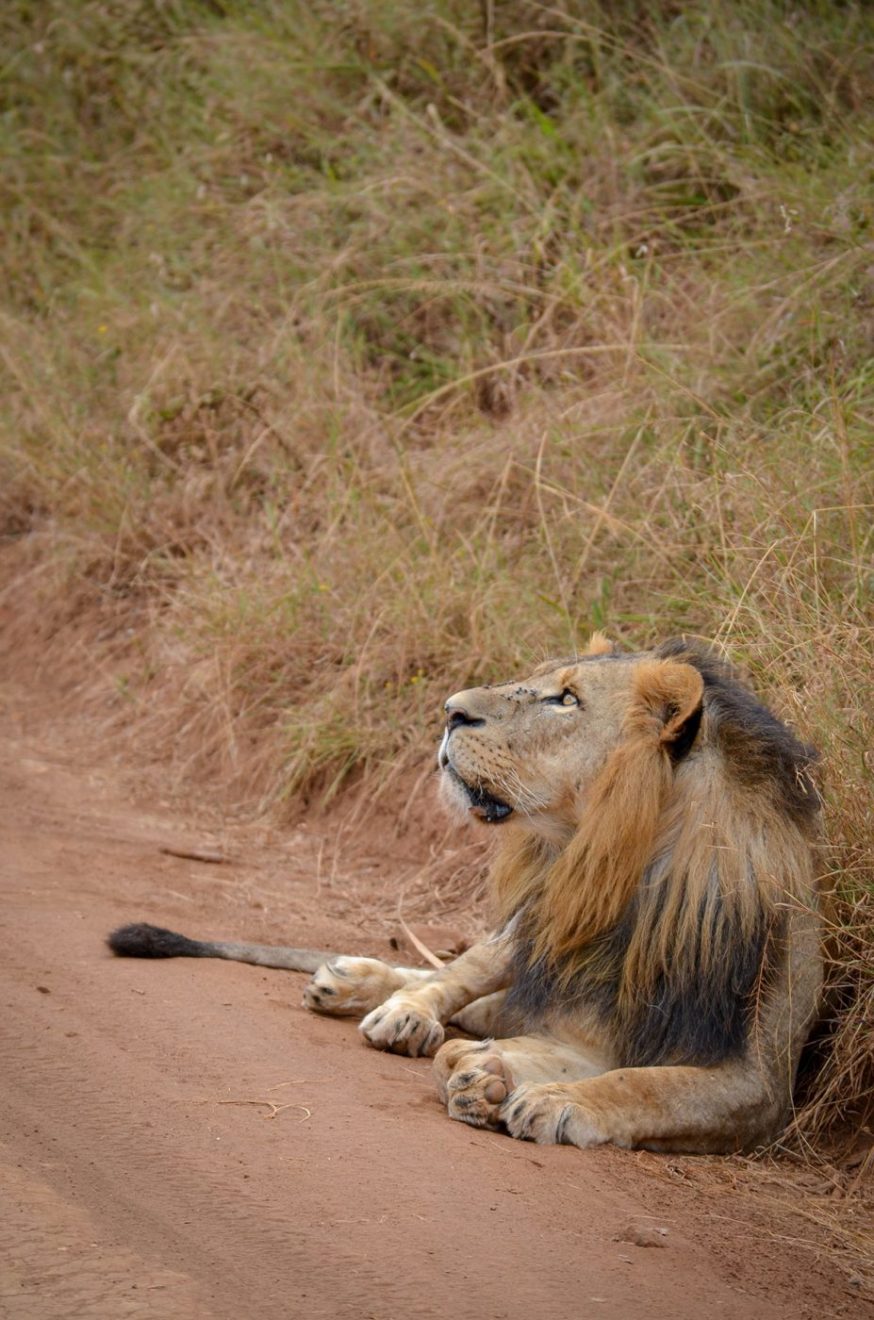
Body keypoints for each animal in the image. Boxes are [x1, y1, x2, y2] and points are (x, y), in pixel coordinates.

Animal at [106, 633, 823, 1151]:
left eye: (566, 699)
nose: (451, 709)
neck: (627, 877)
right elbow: (470, 1027)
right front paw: (484, 1075)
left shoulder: (758, 1088)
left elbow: (648, 1086)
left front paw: (547, 1096)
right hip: (517, 931)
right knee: (445, 977)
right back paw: (374, 997)